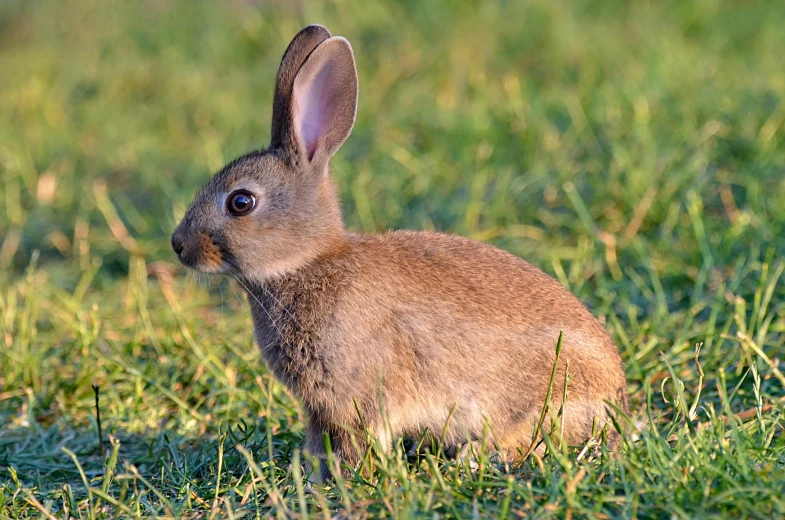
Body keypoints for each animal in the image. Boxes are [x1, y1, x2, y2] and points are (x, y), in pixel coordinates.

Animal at [172, 23, 624, 480]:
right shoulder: (320, 409)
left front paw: (344, 479)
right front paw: (314, 478)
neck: (308, 262)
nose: (179, 246)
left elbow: (357, 440)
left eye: (240, 202)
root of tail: (615, 394)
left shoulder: (357, 394)